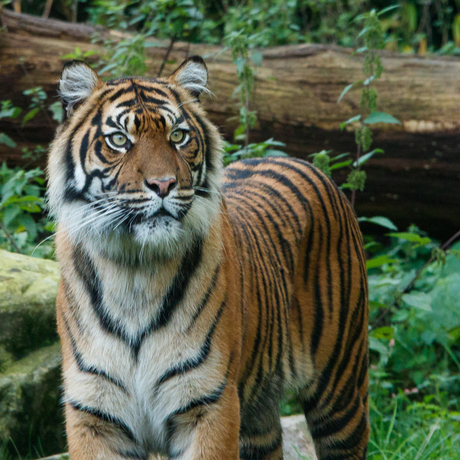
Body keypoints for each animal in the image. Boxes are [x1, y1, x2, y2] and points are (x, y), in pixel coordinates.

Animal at [47, 55, 370, 458]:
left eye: (178, 136)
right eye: (119, 140)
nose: (164, 184)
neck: (133, 272)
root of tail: (303, 162)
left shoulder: (208, 404)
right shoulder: (94, 413)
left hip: (341, 390)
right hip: (259, 418)